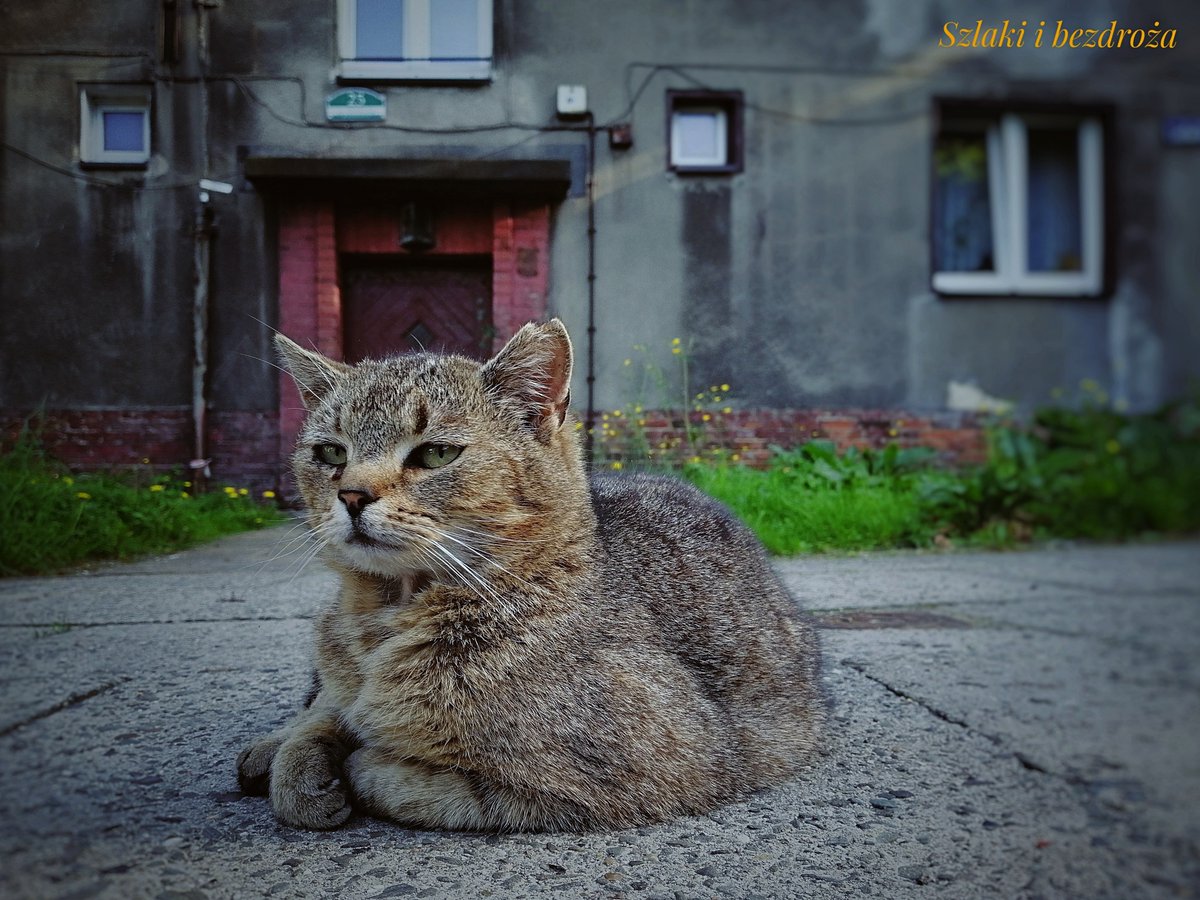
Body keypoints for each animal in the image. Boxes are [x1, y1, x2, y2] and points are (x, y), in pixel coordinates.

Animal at [241, 321, 825, 835]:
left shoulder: (649, 773)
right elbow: (325, 714)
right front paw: (298, 758)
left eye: (436, 453)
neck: (389, 614)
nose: (352, 495)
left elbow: (412, 782)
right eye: (330, 452)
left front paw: (355, 761)